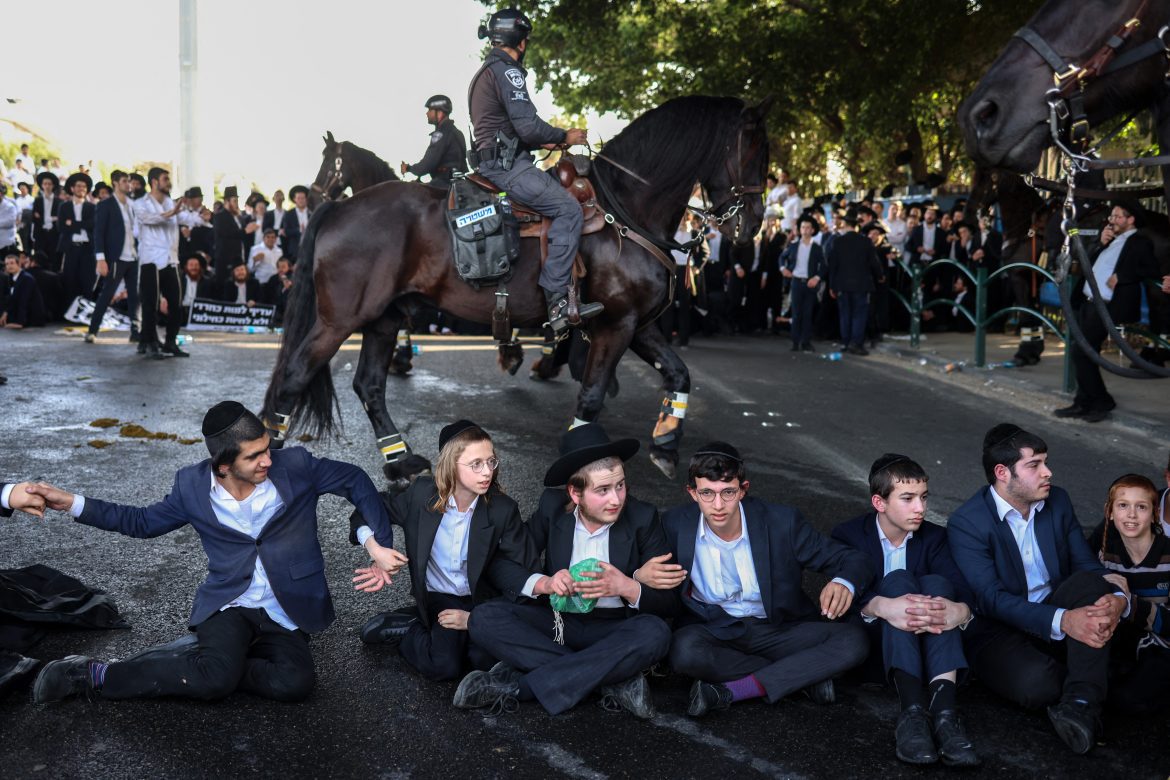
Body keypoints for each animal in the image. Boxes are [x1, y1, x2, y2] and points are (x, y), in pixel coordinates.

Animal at [267, 94, 776, 479]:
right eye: (756, 151)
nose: (752, 224)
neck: (626, 210)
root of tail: (340, 208)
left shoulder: (637, 324)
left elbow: (678, 374)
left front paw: (667, 442)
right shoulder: (616, 326)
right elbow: (591, 395)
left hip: (383, 318)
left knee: (369, 386)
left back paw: (401, 461)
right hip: (341, 319)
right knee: (294, 377)